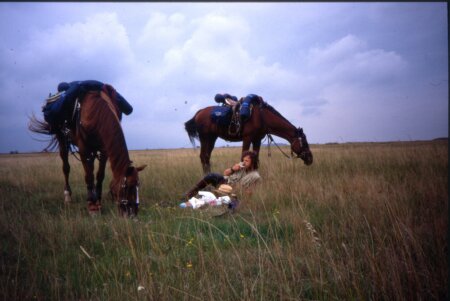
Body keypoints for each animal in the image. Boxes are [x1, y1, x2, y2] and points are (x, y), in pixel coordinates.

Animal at [28, 84, 147, 216]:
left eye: (138, 186)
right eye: (127, 186)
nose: (132, 214)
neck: (96, 113)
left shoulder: (104, 151)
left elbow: (100, 175)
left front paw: (98, 200)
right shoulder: (84, 150)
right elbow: (88, 175)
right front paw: (92, 205)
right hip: (62, 140)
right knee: (66, 168)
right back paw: (68, 196)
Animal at [185, 95, 314, 171]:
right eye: (304, 143)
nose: (310, 159)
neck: (262, 117)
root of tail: (198, 113)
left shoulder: (257, 140)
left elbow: (256, 160)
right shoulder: (247, 138)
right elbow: (243, 158)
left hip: (212, 138)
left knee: (206, 157)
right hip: (204, 137)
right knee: (203, 157)